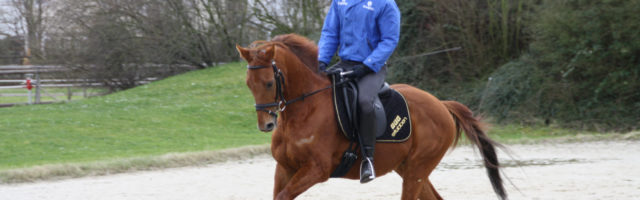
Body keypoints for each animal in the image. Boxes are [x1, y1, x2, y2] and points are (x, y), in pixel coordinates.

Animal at [235, 33, 504, 199]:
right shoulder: (285, 168)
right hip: (408, 168)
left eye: (269, 83)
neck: (302, 111)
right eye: (248, 83)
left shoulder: (316, 170)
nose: (267, 124)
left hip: (417, 169)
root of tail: (440, 103)